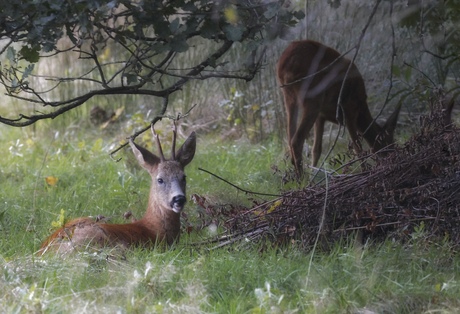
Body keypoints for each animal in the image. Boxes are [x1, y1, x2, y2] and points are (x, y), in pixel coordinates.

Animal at [274, 40, 400, 175]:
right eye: (389, 143)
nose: (393, 157)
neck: (361, 109)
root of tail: (283, 63)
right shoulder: (349, 108)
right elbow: (357, 146)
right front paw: (364, 170)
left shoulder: (321, 116)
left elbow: (316, 149)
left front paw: (314, 174)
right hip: (312, 95)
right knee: (296, 140)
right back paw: (302, 178)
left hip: (288, 96)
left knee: (290, 138)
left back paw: (299, 176)